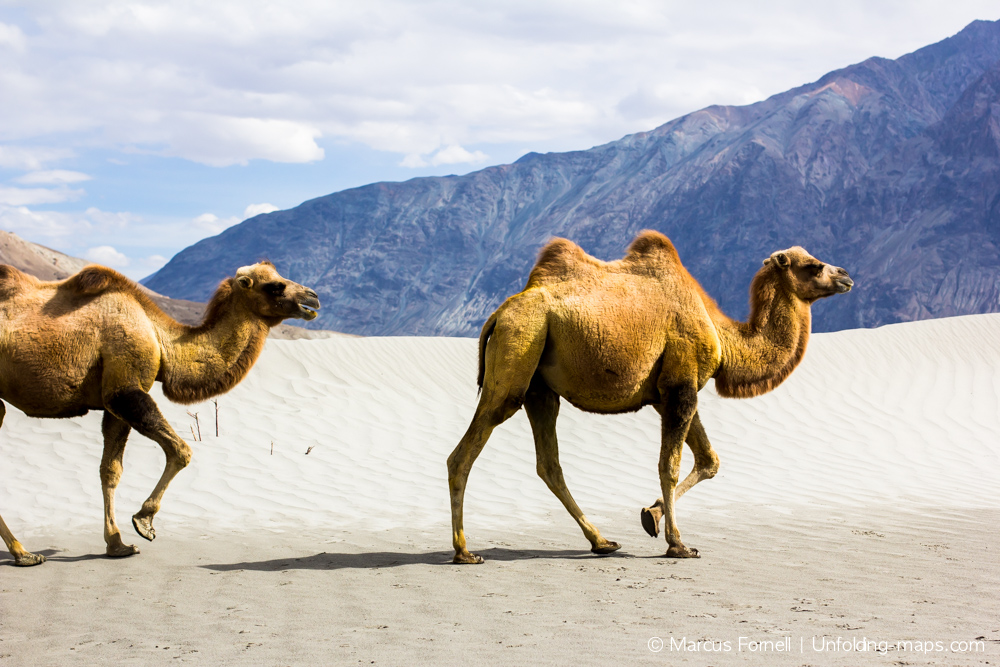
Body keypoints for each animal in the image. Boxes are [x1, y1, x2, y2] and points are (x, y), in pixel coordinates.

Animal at [0, 264, 320, 568]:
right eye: (276, 286)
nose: (313, 297)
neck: (159, 338)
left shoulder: (114, 402)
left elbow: (110, 470)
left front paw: (117, 544)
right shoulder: (125, 389)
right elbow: (181, 450)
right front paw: (144, 521)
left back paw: (22, 552)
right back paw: (24, 553)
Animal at [450, 230, 856, 564]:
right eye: (813, 266)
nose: (847, 275)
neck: (723, 336)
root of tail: (498, 313)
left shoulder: (669, 393)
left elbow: (709, 460)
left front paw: (651, 515)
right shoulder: (681, 385)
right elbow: (669, 467)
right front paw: (678, 544)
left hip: (540, 386)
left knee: (549, 464)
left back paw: (602, 542)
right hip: (518, 349)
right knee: (464, 454)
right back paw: (464, 552)